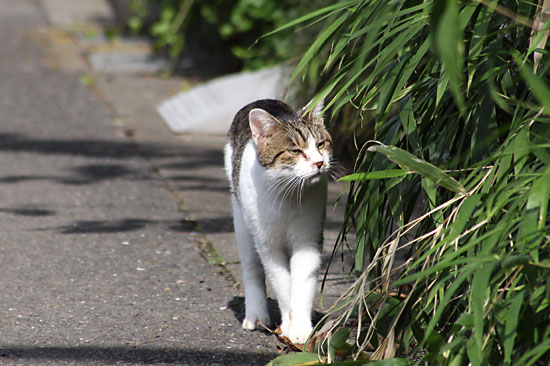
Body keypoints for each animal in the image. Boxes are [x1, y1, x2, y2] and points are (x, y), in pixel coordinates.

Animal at [223, 98, 332, 344]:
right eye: (295, 151)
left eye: (321, 144)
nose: (319, 163)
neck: (289, 195)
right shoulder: (268, 245)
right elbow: (281, 283)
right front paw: (289, 327)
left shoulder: (308, 239)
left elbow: (302, 283)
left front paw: (301, 330)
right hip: (242, 221)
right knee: (252, 270)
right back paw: (256, 315)